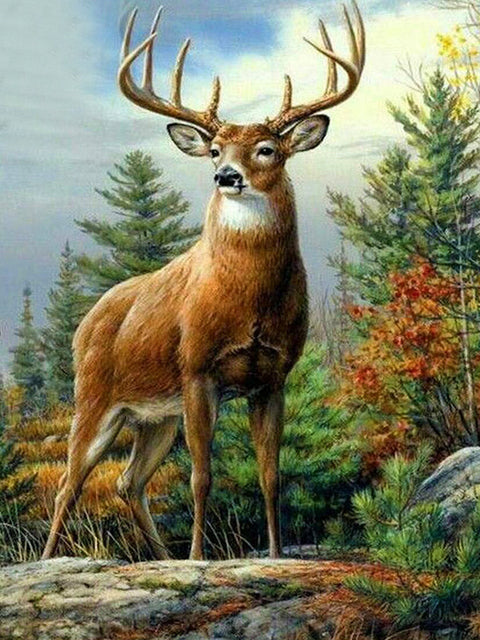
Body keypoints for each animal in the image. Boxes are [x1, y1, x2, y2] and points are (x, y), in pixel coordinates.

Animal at [42, 2, 365, 561]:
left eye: (267, 149)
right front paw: (198, 559)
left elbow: (271, 475)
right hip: (95, 397)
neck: (249, 302)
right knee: (70, 483)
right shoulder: (196, 368)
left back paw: (162, 557)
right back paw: (52, 559)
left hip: (155, 415)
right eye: (215, 149)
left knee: (128, 481)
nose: (227, 177)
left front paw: (275, 554)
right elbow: (201, 476)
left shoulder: (273, 375)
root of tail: (86, 321)